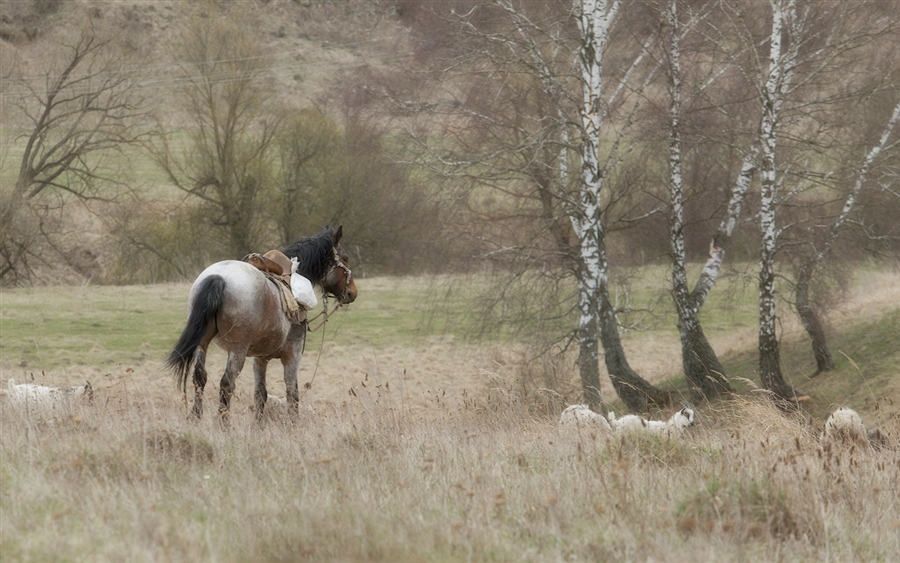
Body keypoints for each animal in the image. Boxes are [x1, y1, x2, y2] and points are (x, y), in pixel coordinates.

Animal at [167, 225, 356, 418]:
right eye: (346, 258)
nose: (352, 292)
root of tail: (219, 277)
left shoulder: (259, 359)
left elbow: (260, 394)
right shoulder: (292, 355)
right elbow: (292, 394)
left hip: (202, 342)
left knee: (199, 377)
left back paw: (195, 418)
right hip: (237, 349)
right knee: (226, 383)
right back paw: (223, 422)